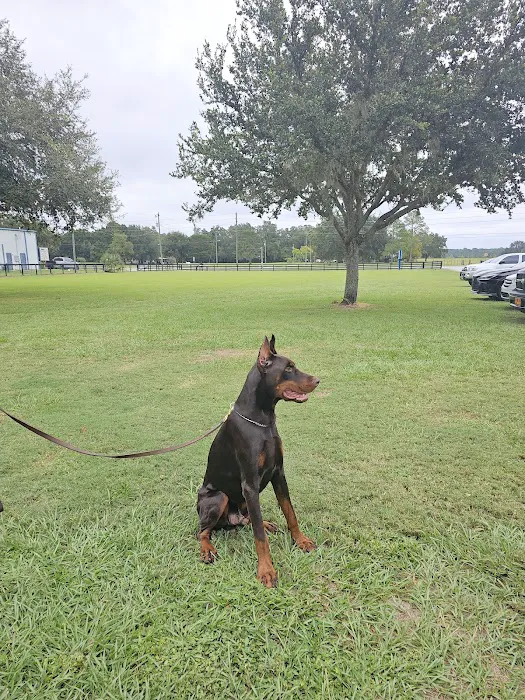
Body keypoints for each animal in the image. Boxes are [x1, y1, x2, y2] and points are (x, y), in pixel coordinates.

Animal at [197, 335, 319, 587]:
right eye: (288, 368)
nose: (318, 380)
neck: (262, 420)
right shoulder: (250, 485)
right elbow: (260, 538)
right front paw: (266, 571)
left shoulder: (279, 473)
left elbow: (290, 513)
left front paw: (300, 541)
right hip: (218, 497)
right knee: (203, 531)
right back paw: (207, 549)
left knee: (249, 520)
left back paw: (265, 523)